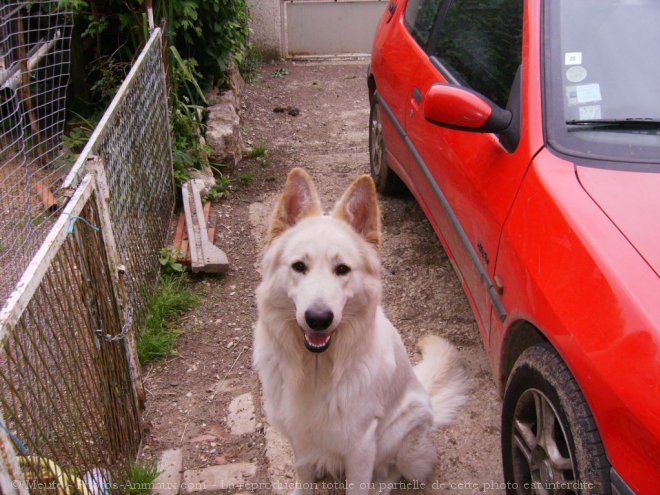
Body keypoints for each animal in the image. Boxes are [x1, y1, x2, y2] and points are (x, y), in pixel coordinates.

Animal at [254, 169, 470, 494]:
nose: (318, 319)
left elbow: (358, 485)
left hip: (401, 435)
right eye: (299, 266)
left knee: (394, 471)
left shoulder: (361, 446)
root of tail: (428, 397)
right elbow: (303, 475)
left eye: (342, 269)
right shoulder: (298, 437)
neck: (317, 370)